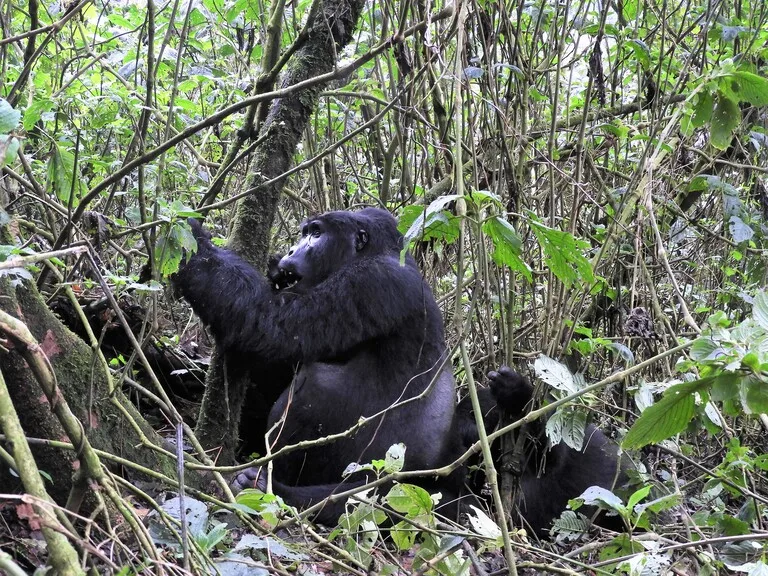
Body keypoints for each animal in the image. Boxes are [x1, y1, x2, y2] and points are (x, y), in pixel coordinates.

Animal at [176, 208, 632, 536]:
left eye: (315, 234)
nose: (290, 251)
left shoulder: (371, 282)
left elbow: (270, 327)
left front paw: (189, 242)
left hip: (396, 481)